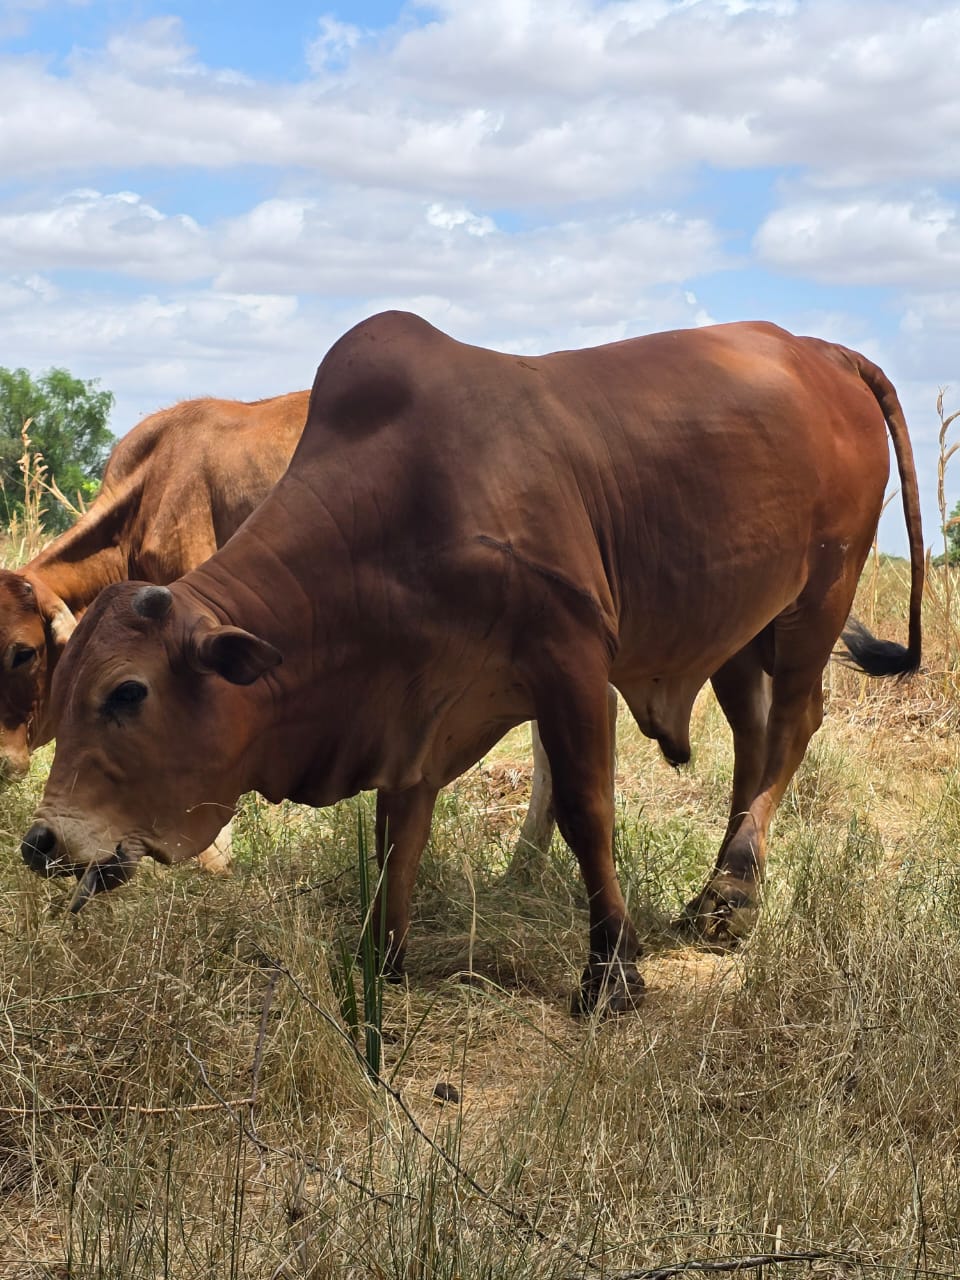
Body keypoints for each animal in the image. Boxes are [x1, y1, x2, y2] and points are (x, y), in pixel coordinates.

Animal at [21, 313, 923, 1015]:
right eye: (59, 685)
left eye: (127, 693)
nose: (40, 840)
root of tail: (822, 348)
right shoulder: (411, 715)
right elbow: (398, 837)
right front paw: (378, 961)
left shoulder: (569, 656)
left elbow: (587, 811)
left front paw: (611, 973)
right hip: (737, 626)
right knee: (754, 735)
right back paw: (724, 895)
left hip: (820, 594)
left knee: (796, 725)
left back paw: (732, 888)